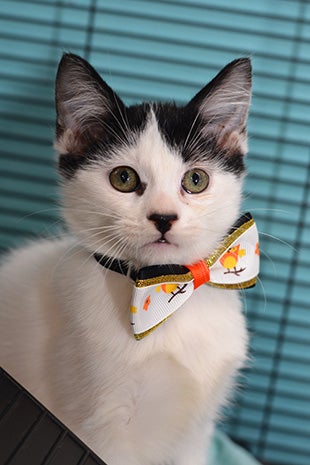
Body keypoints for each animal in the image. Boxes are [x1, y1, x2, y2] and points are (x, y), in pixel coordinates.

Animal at [0, 55, 252, 464]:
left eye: (196, 180)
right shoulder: (99, 429)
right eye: (123, 178)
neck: (166, 287)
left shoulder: (195, 437)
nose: (163, 216)